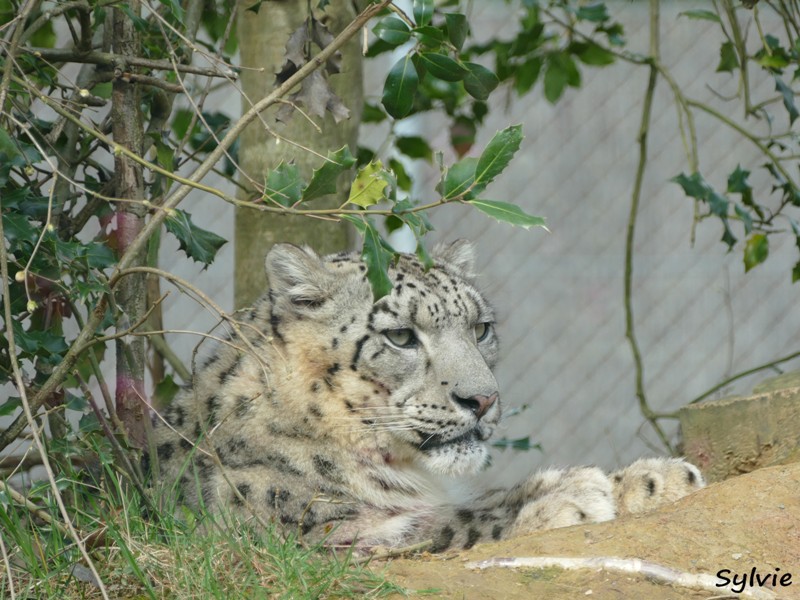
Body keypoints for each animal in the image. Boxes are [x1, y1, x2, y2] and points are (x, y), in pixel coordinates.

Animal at [148, 241, 700, 552]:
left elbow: (479, 498)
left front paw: (656, 478)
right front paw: (574, 494)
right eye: (400, 336)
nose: (483, 399)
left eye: (480, 328)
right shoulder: (315, 532)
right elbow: (438, 525)